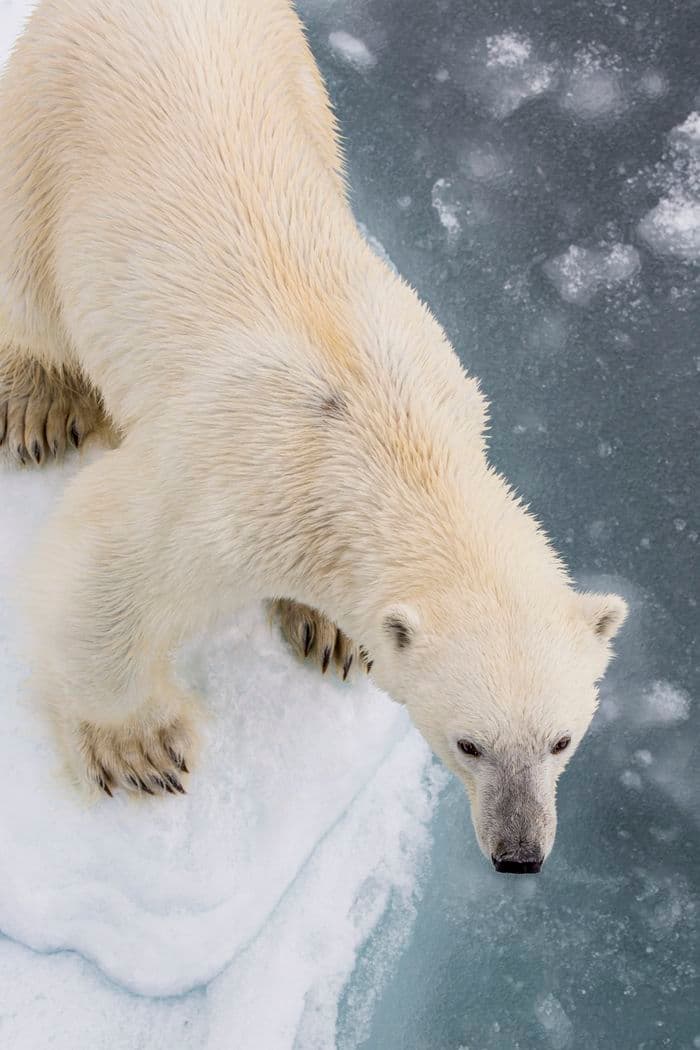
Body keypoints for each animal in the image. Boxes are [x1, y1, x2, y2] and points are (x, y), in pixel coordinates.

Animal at [0, 0, 627, 871]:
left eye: (562, 739)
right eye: (468, 743)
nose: (519, 854)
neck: (388, 439)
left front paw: (328, 630)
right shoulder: (232, 482)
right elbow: (107, 569)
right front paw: (141, 748)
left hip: (306, 87)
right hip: (45, 123)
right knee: (27, 280)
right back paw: (43, 400)